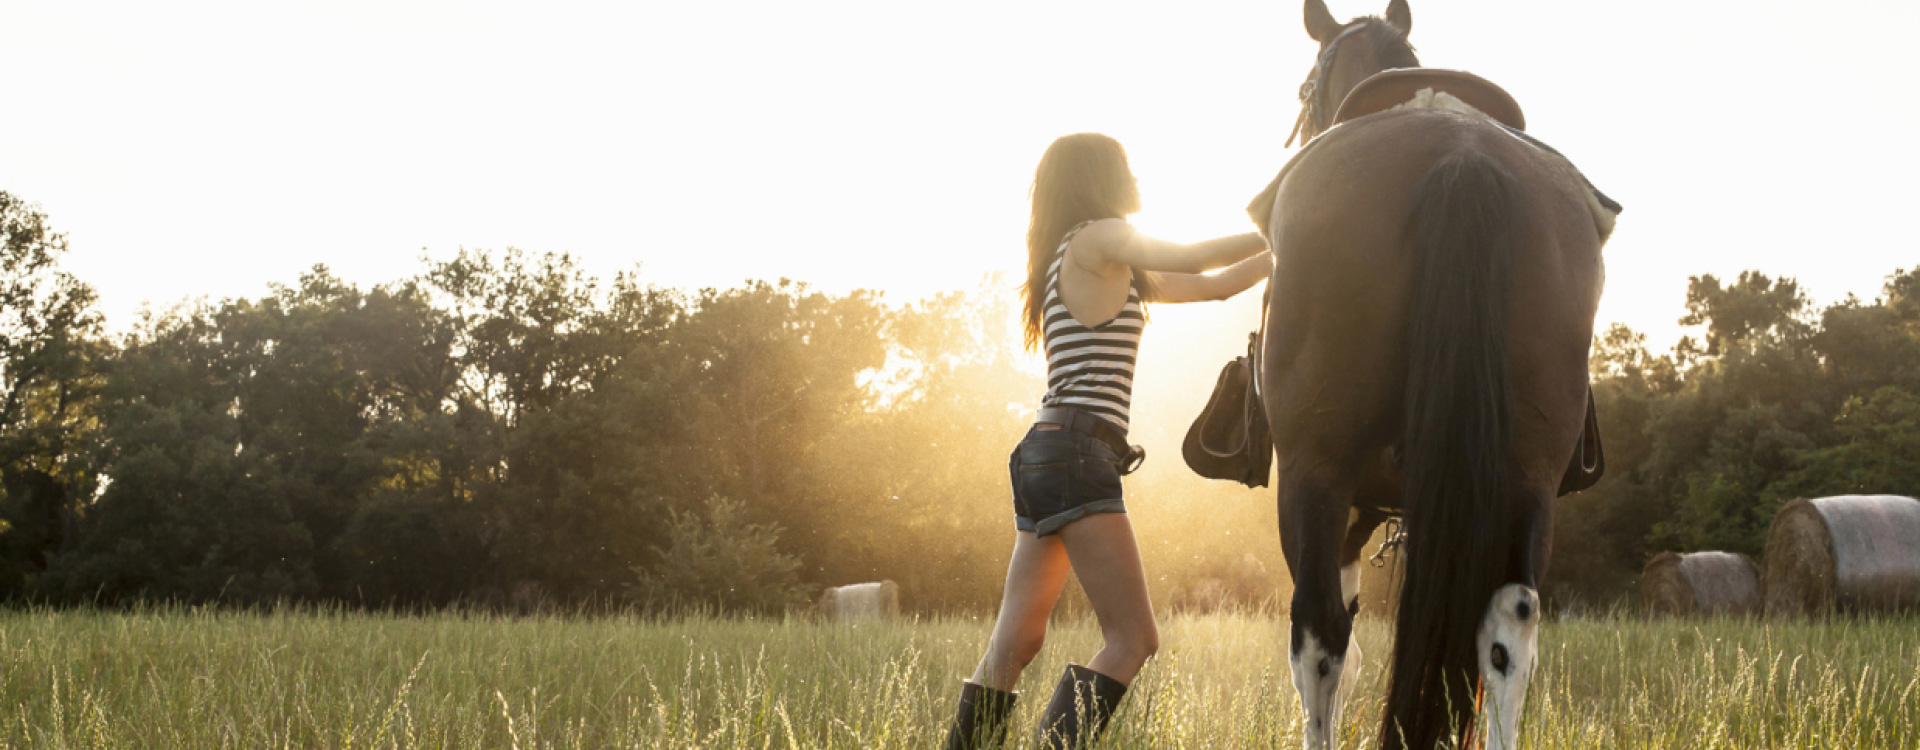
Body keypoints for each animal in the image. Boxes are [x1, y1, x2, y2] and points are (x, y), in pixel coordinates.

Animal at [1251, 1, 1612, 750]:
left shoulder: (1348, 501)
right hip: (1528, 475)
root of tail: (1460, 157)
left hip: (1314, 470)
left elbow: (1344, 647)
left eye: (1304, 91)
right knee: (1510, 625)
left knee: (1319, 635)